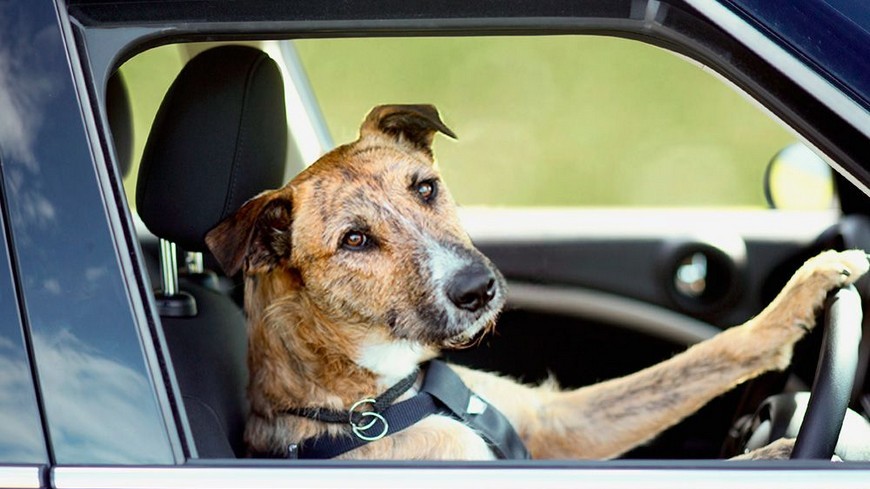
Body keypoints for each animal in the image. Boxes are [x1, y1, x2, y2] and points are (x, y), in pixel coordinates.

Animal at [206, 105, 870, 460]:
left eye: (425, 187)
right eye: (353, 240)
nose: (478, 289)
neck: (381, 401)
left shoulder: (556, 424)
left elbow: (703, 359)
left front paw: (806, 288)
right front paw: (788, 452)